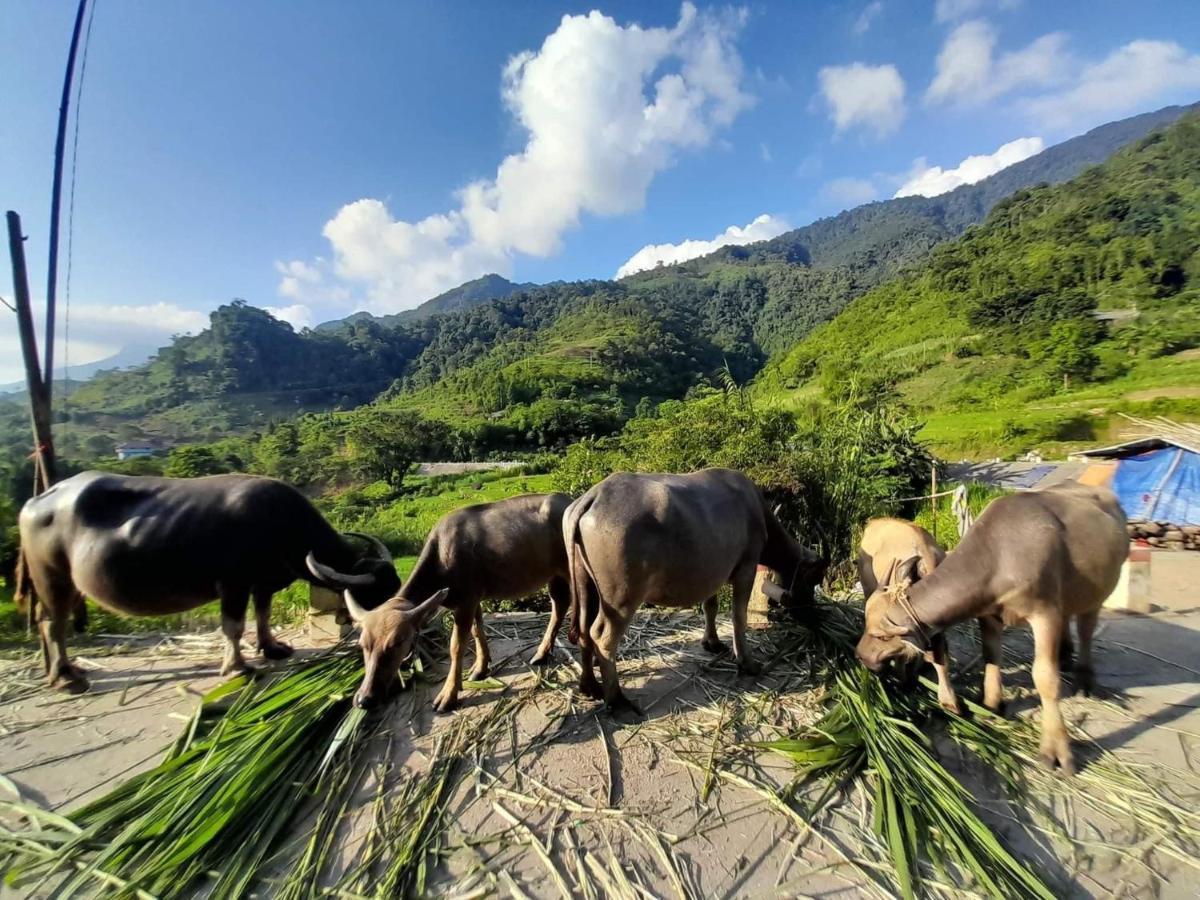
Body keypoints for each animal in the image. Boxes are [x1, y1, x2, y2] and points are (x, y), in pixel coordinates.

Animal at [15, 472, 398, 691]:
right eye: (378, 594)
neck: (281, 524)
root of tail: (37, 500)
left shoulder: (262, 583)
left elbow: (262, 614)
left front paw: (272, 648)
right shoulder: (232, 584)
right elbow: (233, 626)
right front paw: (237, 668)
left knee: (46, 624)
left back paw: (57, 672)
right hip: (52, 578)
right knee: (52, 624)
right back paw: (68, 678)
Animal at [338, 494, 576, 710]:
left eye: (397, 642)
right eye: (363, 644)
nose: (364, 700)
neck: (441, 559)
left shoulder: (465, 604)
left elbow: (456, 646)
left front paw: (448, 694)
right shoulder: (474, 600)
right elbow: (478, 631)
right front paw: (480, 668)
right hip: (554, 575)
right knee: (560, 605)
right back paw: (542, 653)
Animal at [561, 468, 825, 715]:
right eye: (811, 581)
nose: (812, 615)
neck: (757, 512)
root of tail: (594, 495)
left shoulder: (711, 573)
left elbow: (711, 606)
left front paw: (712, 642)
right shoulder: (746, 567)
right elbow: (739, 618)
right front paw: (747, 663)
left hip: (585, 584)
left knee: (584, 630)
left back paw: (590, 687)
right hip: (621, 598)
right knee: (602, 637)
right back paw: (616, 700)